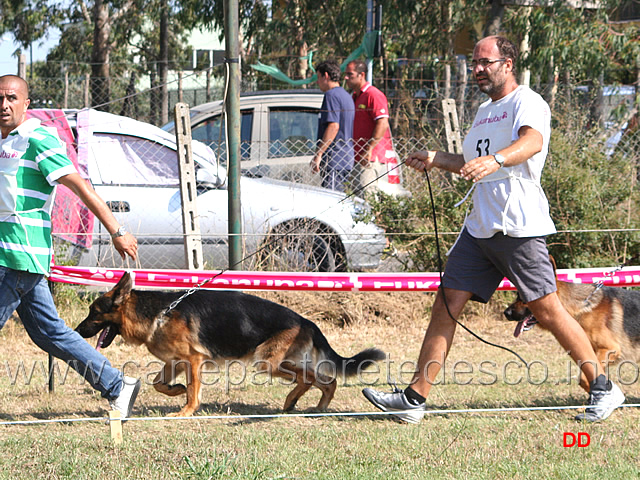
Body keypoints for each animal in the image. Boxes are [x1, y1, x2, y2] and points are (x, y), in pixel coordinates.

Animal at [75, 274, 384, 416]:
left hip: (267, 361)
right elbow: (159, 384)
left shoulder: (193, 360)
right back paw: (311, 405)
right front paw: (176, 390)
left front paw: (186, 410)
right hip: (277, 362)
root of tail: (306, 321)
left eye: (92, 312)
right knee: (324, 381)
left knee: (311, 378)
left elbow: (193, 392)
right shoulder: (175, 361)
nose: (76, 330)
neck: (158, 313)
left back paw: (295, 400)